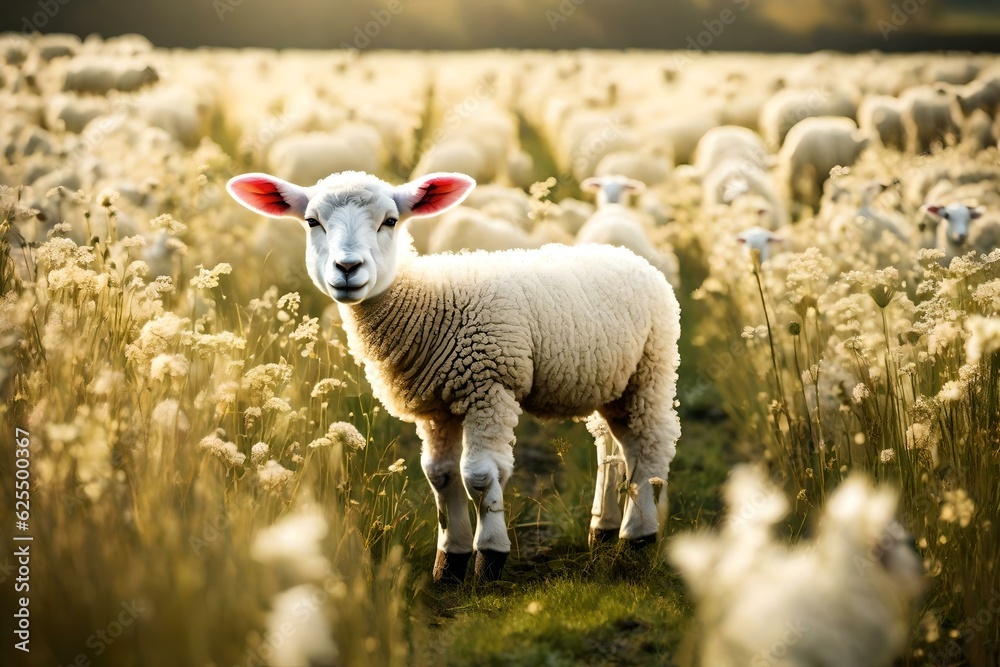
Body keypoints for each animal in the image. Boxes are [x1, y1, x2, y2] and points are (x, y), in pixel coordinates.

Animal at [227, 170, 681, 584]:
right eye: (311, 222)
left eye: (390, 220)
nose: (348, 267)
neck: (427, 301)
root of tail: (626, 253)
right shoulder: (435, 407)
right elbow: (439, 475)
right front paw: (450, 560)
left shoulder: (488, 386)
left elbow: (478, 476)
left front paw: (489, 556)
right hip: (610, 381)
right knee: (614, 447)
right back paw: (603, 527)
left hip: (651, 367)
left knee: (648, 445)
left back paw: (637, 536)